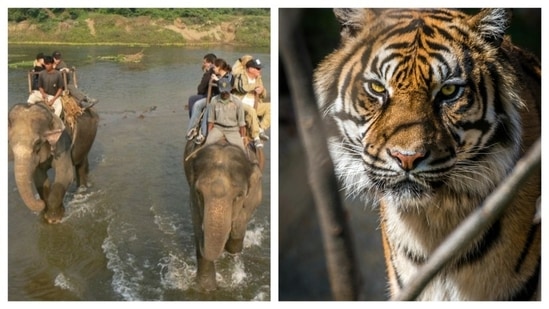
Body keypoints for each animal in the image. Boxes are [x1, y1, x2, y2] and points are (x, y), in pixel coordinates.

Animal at [182, 141, 264, 290]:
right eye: (199, 193)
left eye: (238, 196)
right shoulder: (192, 192)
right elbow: (196, 219)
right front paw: (206, 289)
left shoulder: (254, 195)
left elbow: (238, 227)